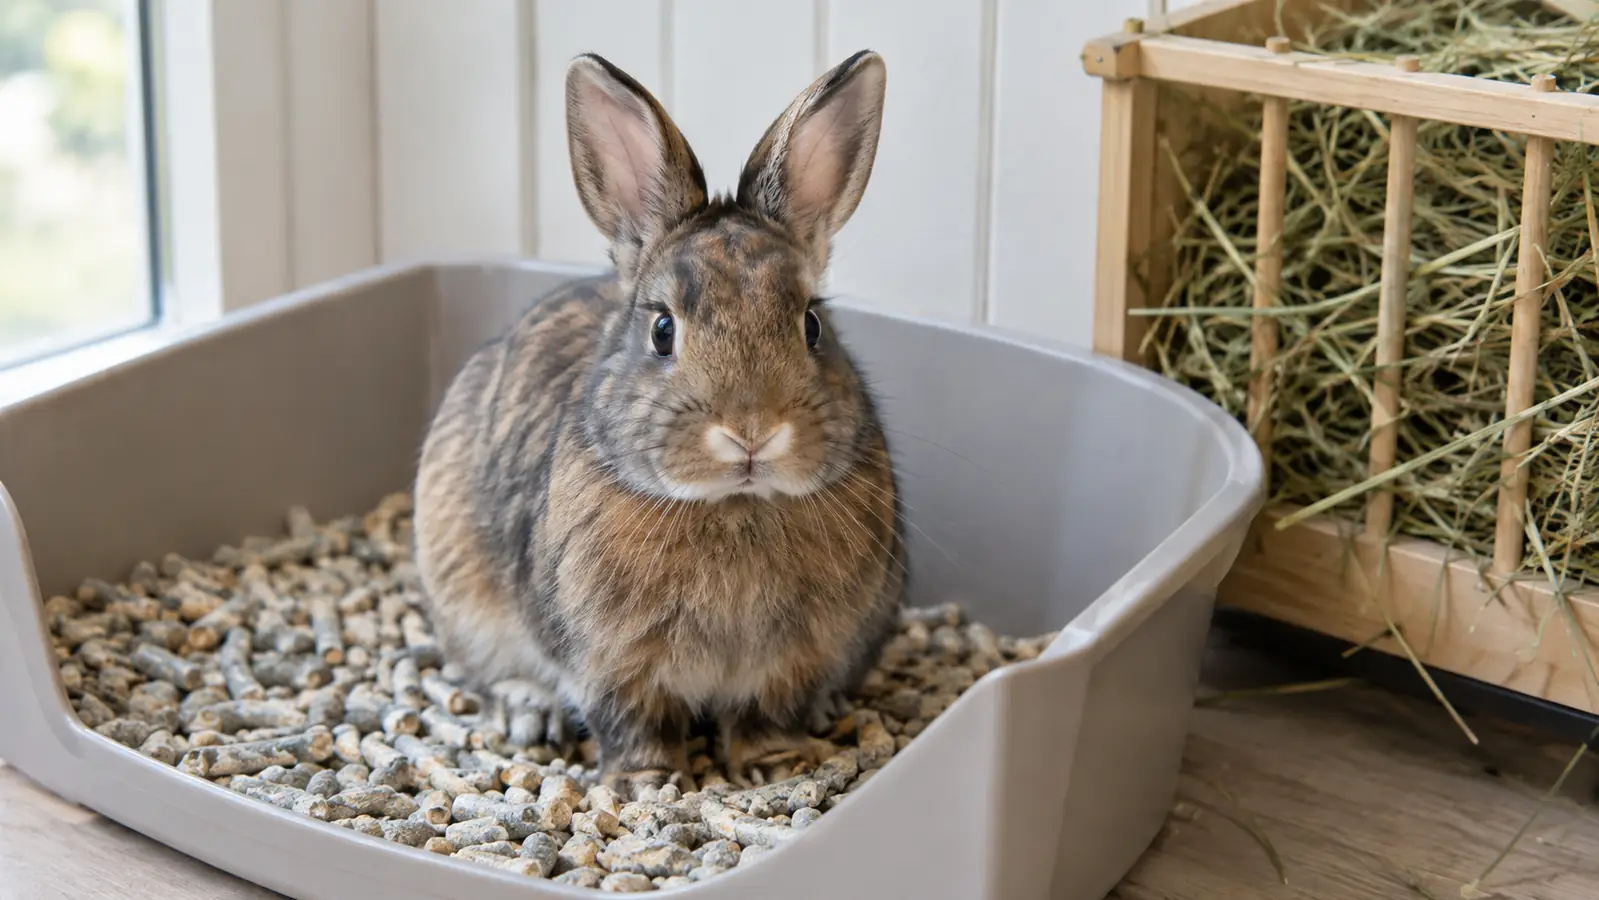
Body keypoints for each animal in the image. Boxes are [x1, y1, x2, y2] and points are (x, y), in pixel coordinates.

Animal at [413, 48, 904, 792]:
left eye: (812, 325)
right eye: (662, 330)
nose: (751, 432)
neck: (734, 504)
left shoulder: (796, 661)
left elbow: (768, 716)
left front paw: (777, 768)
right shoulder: (611, 664)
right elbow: (632, 722)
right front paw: (644, 784)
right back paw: (532, 714)